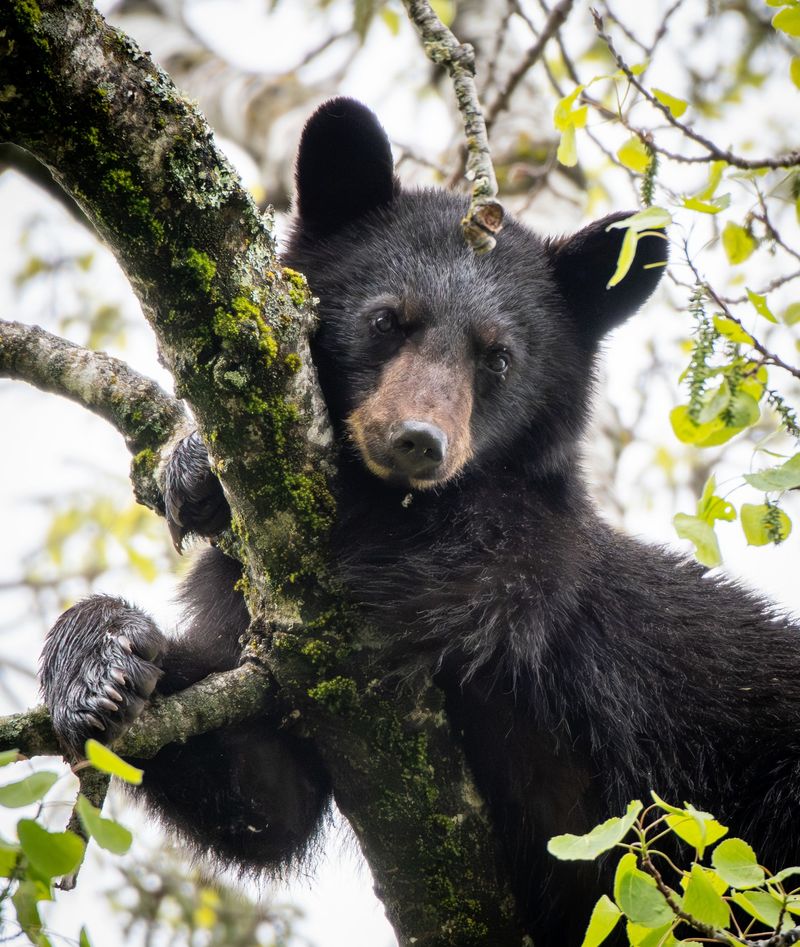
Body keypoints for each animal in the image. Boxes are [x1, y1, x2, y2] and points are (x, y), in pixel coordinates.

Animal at [40, 98, 800, 947]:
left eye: (499, 358)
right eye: (387, 319)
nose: (417, 441)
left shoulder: (537, 558)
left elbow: (460, 568)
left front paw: (200, 471)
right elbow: (264, 793)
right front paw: (101, 659)